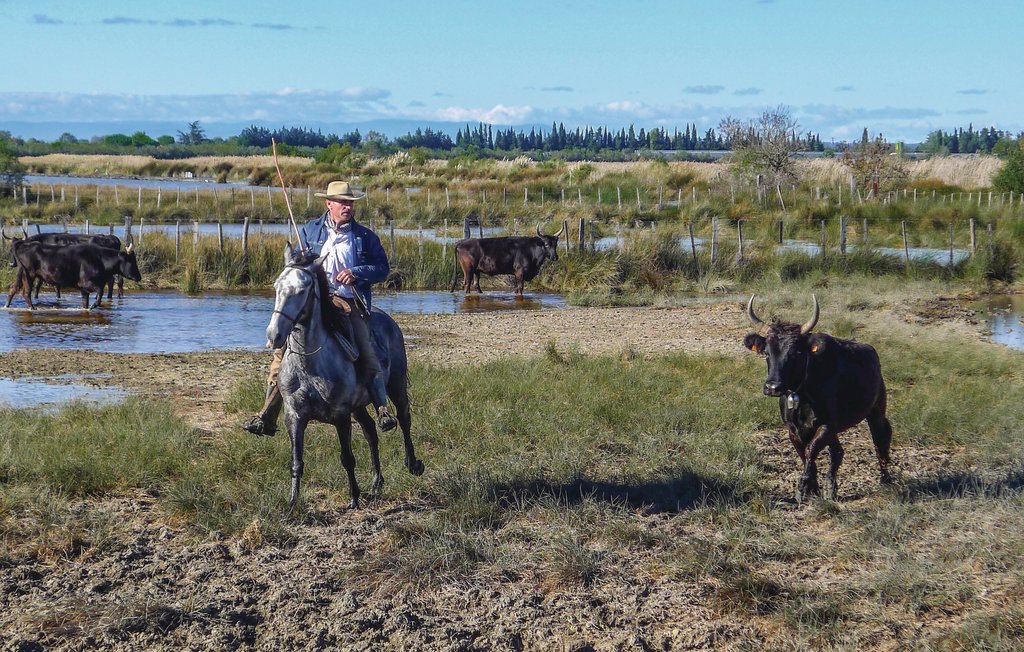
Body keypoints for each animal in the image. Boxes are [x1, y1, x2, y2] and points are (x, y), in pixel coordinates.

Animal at [5, 240, 142, 309]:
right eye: (131, 261)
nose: (139, 277)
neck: (100, 260)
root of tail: (24, 244)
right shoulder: (86, 283)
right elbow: (100, 291)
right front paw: (94, 305)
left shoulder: (84, 290)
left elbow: (85, 303)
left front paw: (89, 307)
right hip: (29, 274)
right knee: (26, 292)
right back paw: (33, 308)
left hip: (21, 273)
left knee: (13, 288)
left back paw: (7, 306)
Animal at [268, 242, 423, 507]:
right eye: (278, 286)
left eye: (302, 289)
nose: (274, 335)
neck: (309, 366)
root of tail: (388, 320)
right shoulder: (294, 416)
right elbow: (296, 462)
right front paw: (292, 503)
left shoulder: (340, 415)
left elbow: (347, 458)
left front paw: (353, 498)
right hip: (358, 406)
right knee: (371, 431)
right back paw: (376, 482)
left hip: (396, 385)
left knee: (404, 419)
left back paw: (412, 464)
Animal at [741, 294, 892, 497]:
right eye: (766, 352)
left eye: (796, 352)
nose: (772, 387)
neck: (802, 394)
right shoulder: (793, 429)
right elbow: (805, 455)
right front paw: (812, 487)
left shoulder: (827, 424)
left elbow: (811, 450)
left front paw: (804, 485)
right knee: (838, 452)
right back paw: (831, 489)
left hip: (876, 411)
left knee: (880, 439)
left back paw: (885, 480)